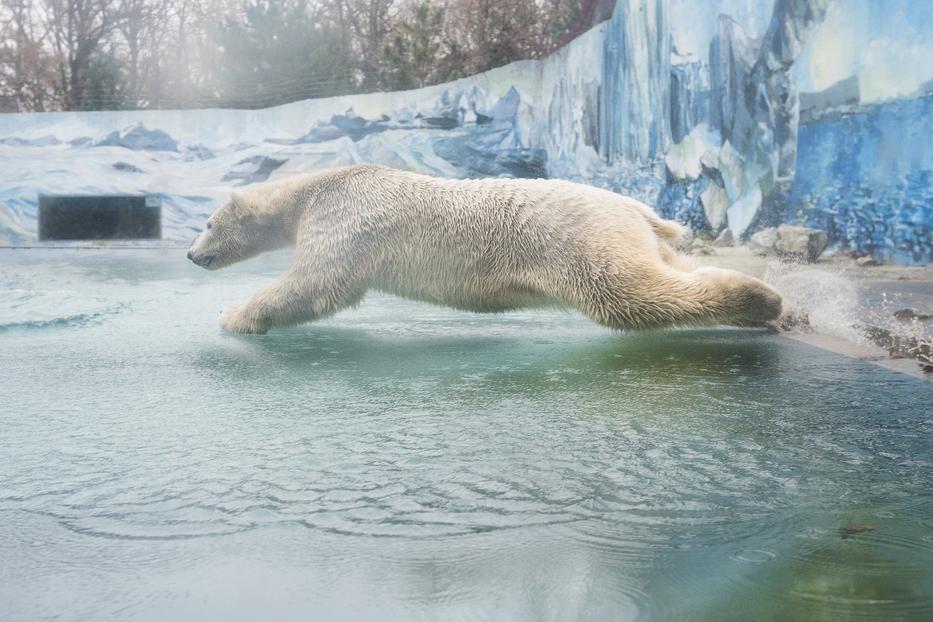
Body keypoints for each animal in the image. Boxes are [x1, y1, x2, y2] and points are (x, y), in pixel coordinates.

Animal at [186, 163, 784, 334]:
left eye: (207, 222)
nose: (191, 255)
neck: (317, 186)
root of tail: (635, 207)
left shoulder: (345, 218)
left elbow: (315, 284)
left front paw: (232, 315)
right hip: (626, 234)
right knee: (667, 266)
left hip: (579, 239)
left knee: (627, 293)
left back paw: (765, 301)